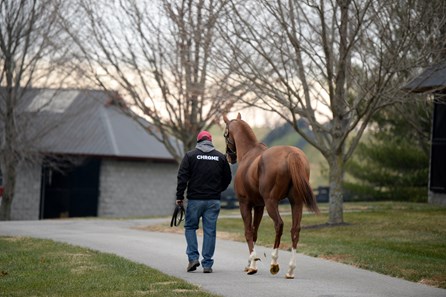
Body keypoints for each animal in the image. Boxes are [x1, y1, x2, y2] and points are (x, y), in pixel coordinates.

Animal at [222, 112, 318, 278]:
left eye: (224, 134)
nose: (229, 157)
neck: (249, 153)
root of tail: (291, 153)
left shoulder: (245, 204)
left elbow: (248, 232)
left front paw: (252, 265)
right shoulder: (259, 206)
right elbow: (254, 233)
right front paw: (250, 263)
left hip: (271, 202)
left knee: (279, 224)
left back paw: (274, 263)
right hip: (296, 202)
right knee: (295, 229)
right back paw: (290, 270)